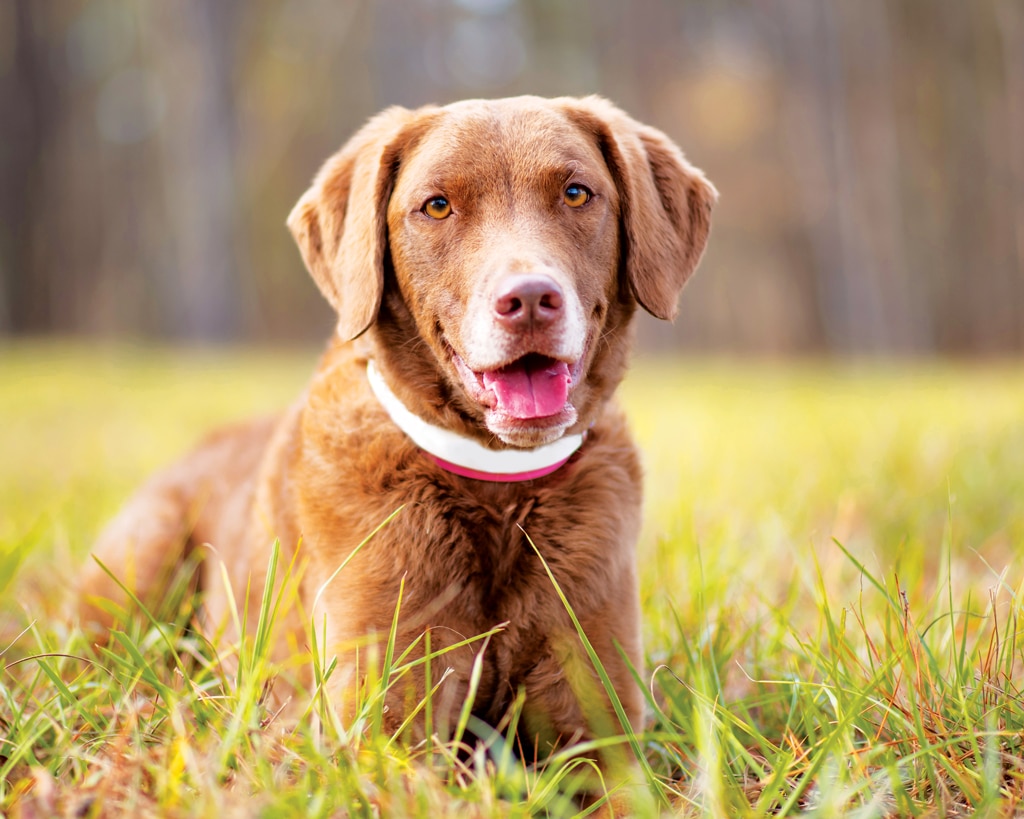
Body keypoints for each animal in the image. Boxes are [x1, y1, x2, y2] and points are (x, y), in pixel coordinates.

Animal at [79, 97, 716, 761]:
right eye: (436, 205)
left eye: (575, 193)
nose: (530, 300)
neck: (497, 492)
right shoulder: (385, 729)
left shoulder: (600, 731)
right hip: (144, 555)